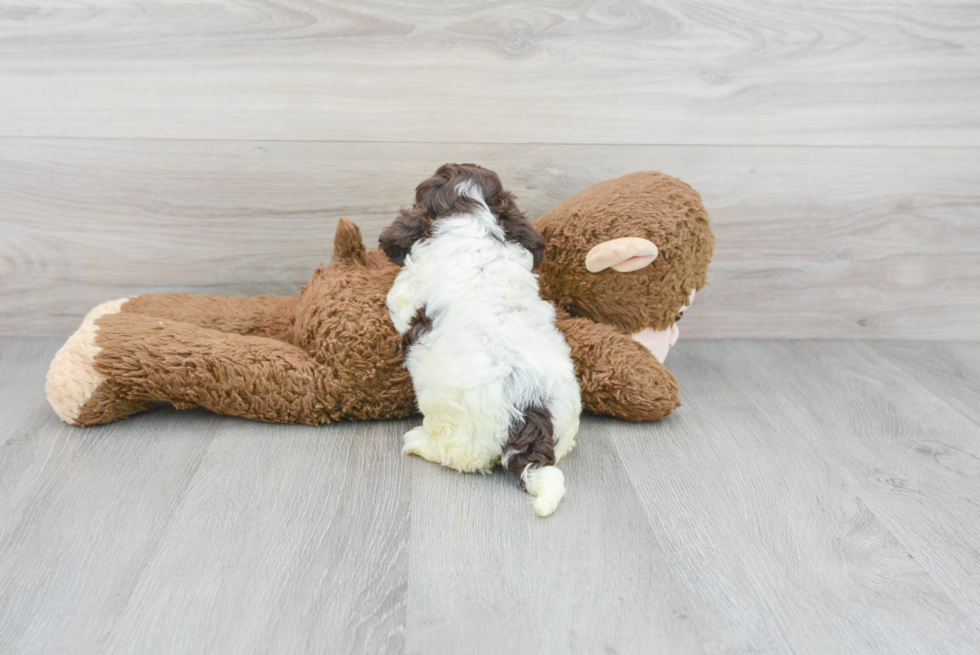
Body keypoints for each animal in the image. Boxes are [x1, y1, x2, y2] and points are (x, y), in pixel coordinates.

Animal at [380, 164, 580, 516]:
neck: (471, 216)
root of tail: (529, 410)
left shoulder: (405, 291)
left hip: (454, 428)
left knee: (453, 453)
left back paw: (417, 442)